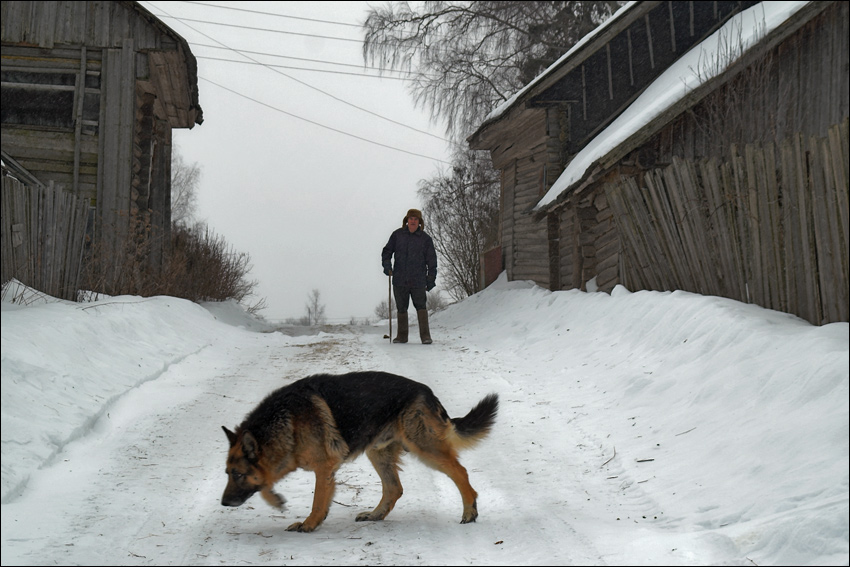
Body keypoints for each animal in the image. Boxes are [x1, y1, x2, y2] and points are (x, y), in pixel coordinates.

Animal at [219, 370, 496, 536]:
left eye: (237, 474)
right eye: (228, 474)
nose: (223, 503)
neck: (286, 421)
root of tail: (427, 393)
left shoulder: (324, 467)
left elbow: (317, 502)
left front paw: (309, 524)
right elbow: (266, 482)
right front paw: (276, 500)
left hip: (426, 449)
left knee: (460, 472)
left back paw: (470, 511)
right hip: (378, 453)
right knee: (394, 488)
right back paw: (375, 515)